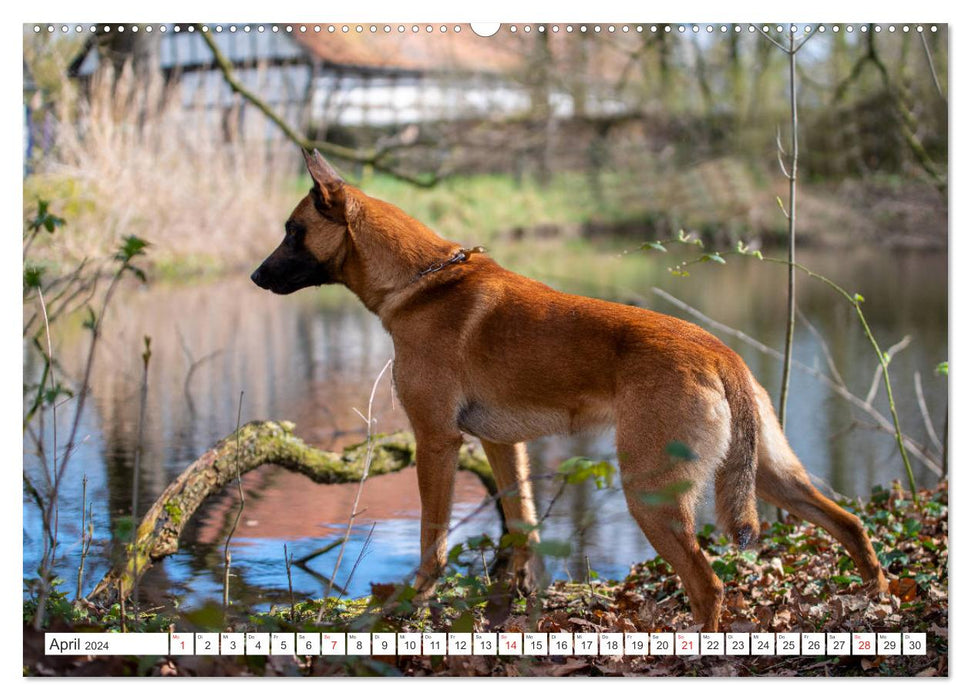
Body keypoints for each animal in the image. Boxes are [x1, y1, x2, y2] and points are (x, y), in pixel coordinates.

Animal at [251, 150, 888, 632]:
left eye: (292, 232)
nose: (255, 277)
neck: (422, 281)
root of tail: (719, 352)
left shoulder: (435, 441)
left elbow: (433, 539)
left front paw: (410, 605)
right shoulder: (502, 445)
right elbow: (523, 527)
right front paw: (514, 608)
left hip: (652, 494)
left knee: (709, 586)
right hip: (772, 474)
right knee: (849, 525)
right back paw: (880, 602)